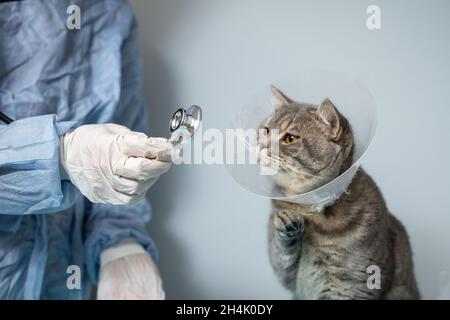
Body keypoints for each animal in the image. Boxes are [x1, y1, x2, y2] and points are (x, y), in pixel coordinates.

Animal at [262, 85, 420, 300]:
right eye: (265, 130)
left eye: (289, 138)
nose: (261, 146)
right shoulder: (288, 275)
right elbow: (281, 251)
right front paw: (287, 223)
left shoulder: (356, 285)